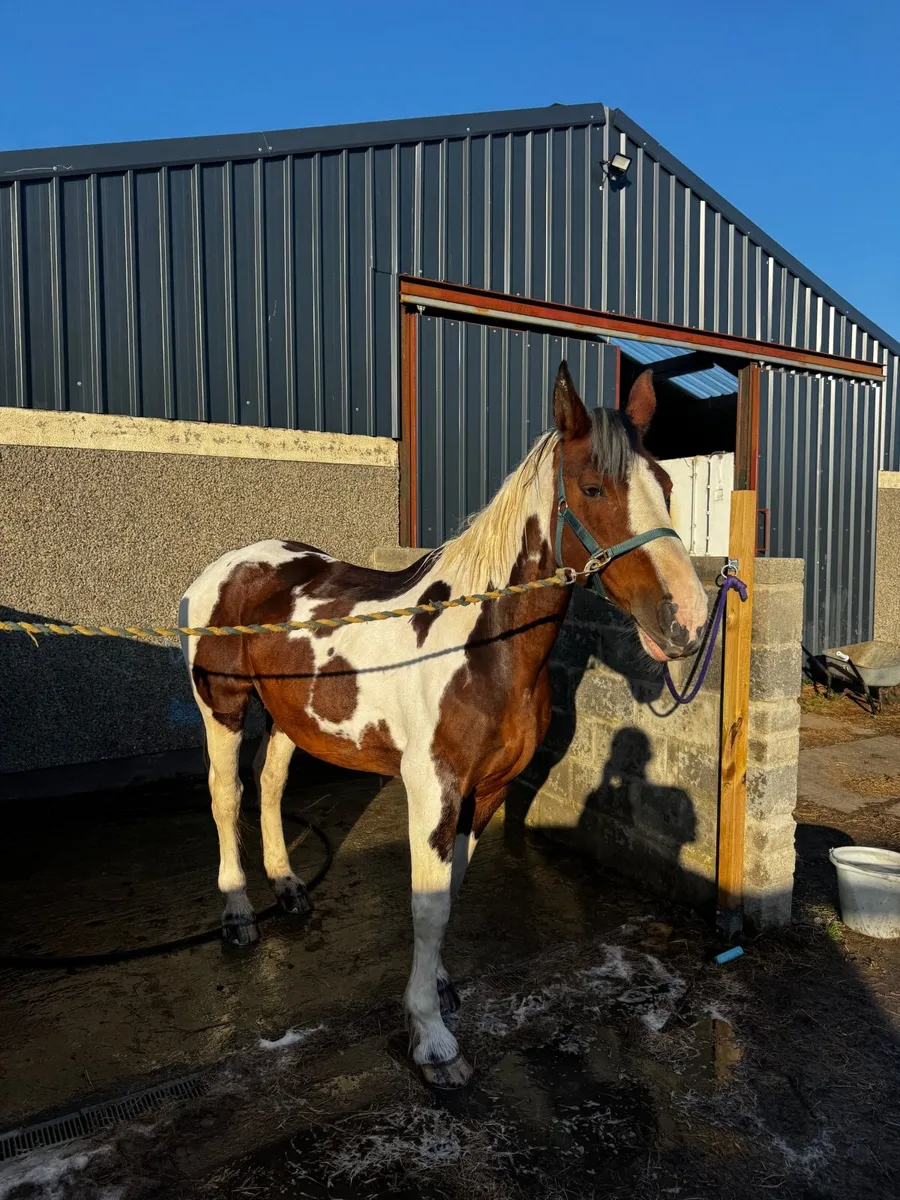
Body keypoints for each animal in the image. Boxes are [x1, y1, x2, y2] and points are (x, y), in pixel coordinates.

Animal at [179, 362, 708, 1088]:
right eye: (593, 487)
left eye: (665, 485)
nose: (688, 619)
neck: (483, 645)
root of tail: (223, 569)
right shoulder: (434, 787)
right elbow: (428, 903)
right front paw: (432, 1040)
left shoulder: (484, 792)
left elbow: (451, 888)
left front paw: (440, 989)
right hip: (224, 709)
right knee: (226, 796)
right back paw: (236, 915)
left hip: (290, 718)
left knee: (268, 787)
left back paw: (288, 887)